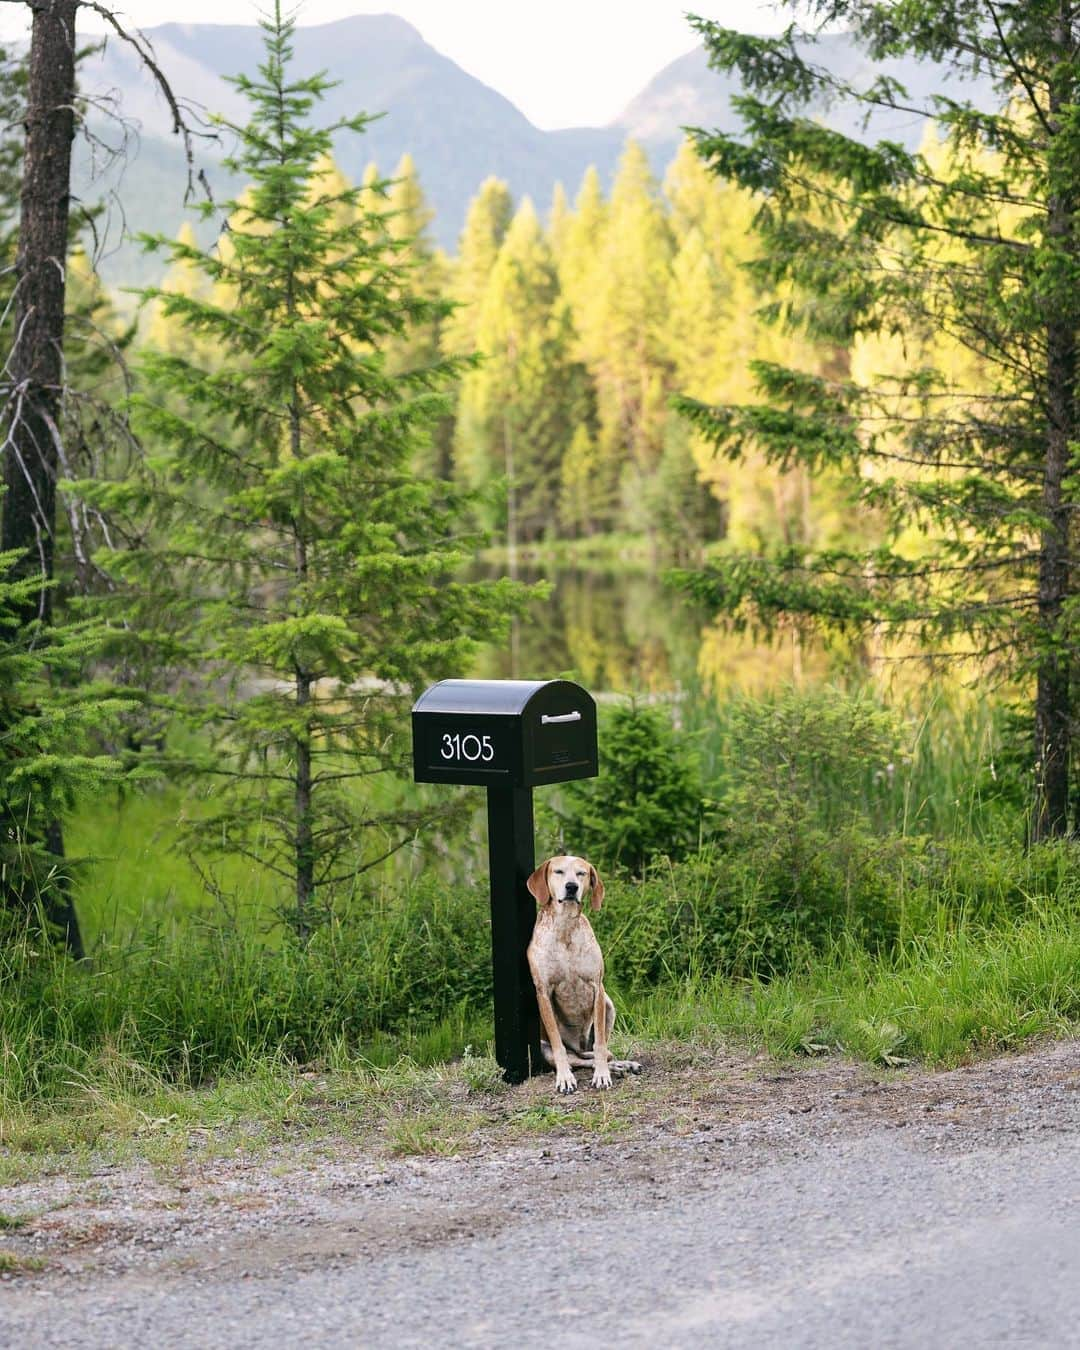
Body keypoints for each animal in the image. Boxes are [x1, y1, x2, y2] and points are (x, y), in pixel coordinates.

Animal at [526, 858, 642, 1090]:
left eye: (581, 873)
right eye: (558, 871)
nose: (571, 887)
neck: (565, 928)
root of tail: (577, 1047)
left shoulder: (597, 987)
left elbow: (600, 1044)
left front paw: (602, 1075)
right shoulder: (543, 992)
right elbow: (558, 1045)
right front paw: (564, 1078)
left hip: (609, 1006)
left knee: (596, 1054)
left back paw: (620, 1065)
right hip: (543, 1048)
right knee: (577, 1059)